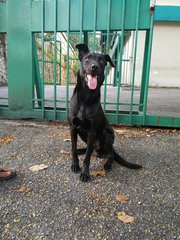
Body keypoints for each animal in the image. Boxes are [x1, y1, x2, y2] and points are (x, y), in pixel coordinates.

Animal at [68, 43, 142, 182]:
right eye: (87, 59)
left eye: (101, 61)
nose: (94, 67)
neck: (86, 97)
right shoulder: (73, 128)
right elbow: (73, 150)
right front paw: (75, 165)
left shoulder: (92, 131)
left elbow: (87, 158)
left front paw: (85, 173)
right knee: (91, 150)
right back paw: (82, 150)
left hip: (107, 136)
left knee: (109, 154)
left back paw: (107, 163)